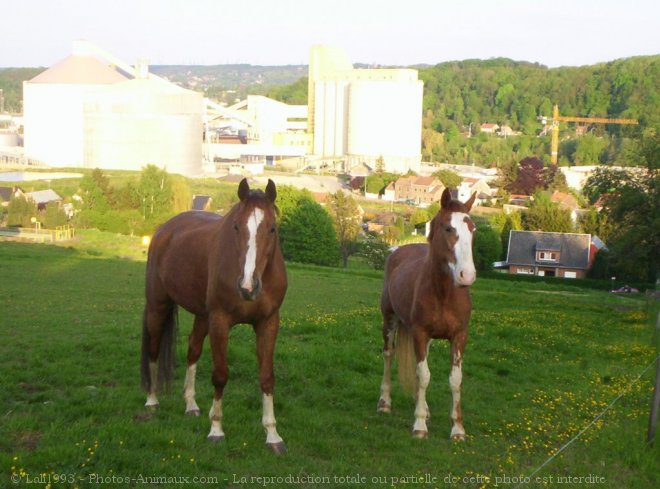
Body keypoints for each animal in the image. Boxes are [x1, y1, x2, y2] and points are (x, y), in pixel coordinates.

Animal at [141, 177, 288, 452]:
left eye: (272, 228)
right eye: (236, 227)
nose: (247, 287)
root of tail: (164, 230)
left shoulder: (268, 322)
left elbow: (267, 377)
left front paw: (273, 434)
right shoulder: (220, 321)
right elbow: (220, 375)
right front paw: (216, 429)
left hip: (202, 316)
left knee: (193, 350)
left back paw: (191, 405)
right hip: (158, 305)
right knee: (153, 349)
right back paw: (152, 400)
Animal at [378, 187, 476, 438]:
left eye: (472, 229)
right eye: (448, 228)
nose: (467, 275)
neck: (443, 294)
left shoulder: (459, 336)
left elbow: (455, 379)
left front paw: (457, 428)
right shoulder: (419, 333)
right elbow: (423, 376)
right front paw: (420, 425)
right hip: (389, 320)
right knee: (388, 354)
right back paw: (384, 403)